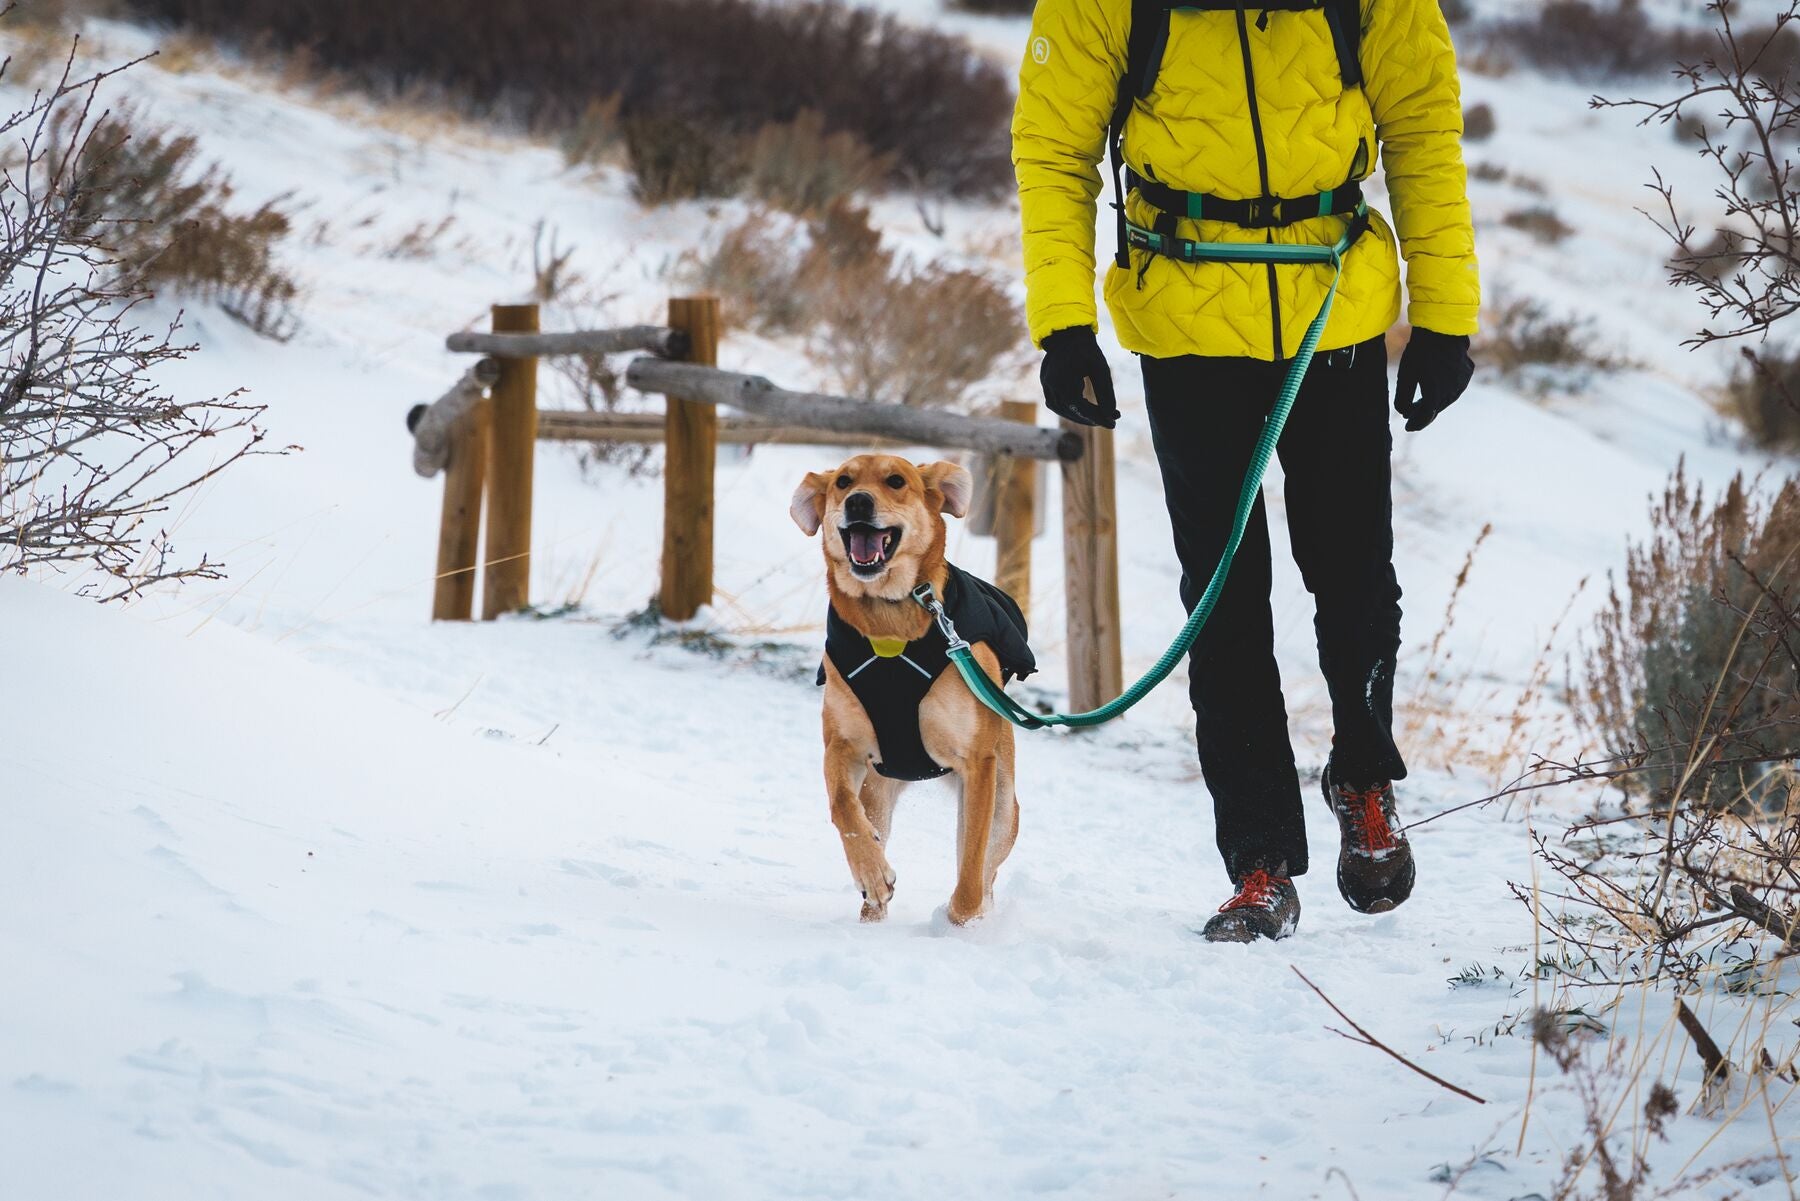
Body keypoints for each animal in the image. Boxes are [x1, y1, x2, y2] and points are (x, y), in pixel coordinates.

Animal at [792, 455, 1022, 929]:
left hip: (1004, 804)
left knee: (986, 866)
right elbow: (842, 808)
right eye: (843, 482)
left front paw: (959, 922)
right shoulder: (842, 746)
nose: (858, 501)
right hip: (879, 789)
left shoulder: (978, 763)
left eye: (896, 481)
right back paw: (870, 912)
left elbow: (971, 868)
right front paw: (873, 873)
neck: (888, 624)